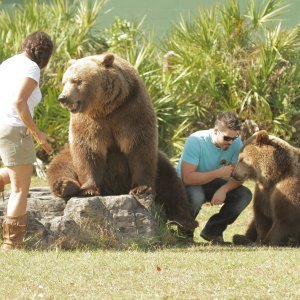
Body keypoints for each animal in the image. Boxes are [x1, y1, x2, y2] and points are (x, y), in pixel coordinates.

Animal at [47, 53, 198, 232]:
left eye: (77, 80)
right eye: (64, 82)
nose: (63, 98)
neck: (107, 108)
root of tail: (115, 189)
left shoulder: (130, 111)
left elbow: (139, 147)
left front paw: (141, 188)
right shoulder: (89, 122)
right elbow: (88, 150)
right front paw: (89, 190)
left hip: (160, 162)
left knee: (171, 181)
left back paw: (186, 220)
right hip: (67, 154)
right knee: (60, 165)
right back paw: (65, 186)